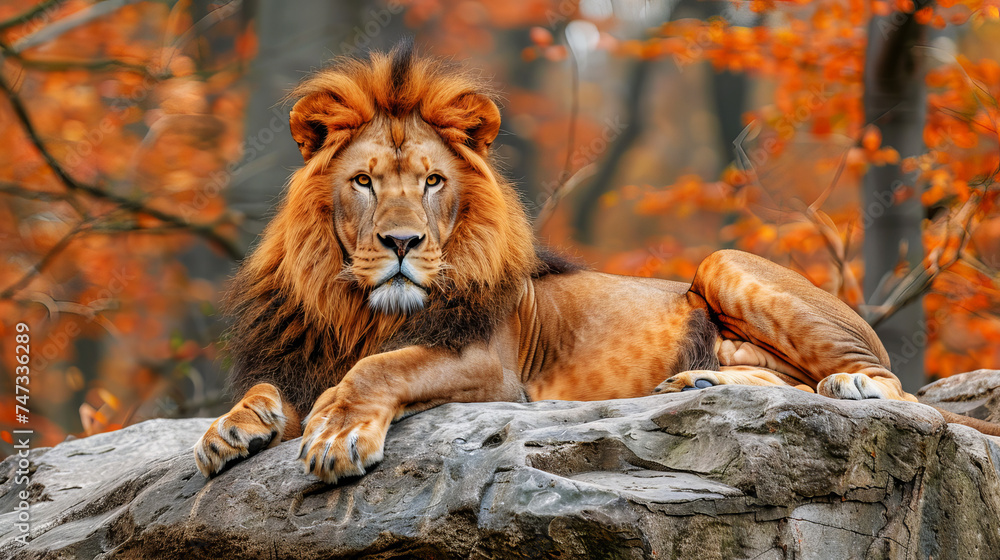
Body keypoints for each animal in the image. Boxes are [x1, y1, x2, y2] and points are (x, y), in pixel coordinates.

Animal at [194, 42, 999, 483]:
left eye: (432, 182)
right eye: (363, 182)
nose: (401, 244)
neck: (358, 308)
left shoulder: (492, 366)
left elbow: (382, 367)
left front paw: (336, 435)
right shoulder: (303, 356)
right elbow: (270, 390)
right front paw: (230, 430)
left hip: (722, 262)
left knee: (892, 386)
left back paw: (851, 385)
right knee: (790, 382)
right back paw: (700, 380)